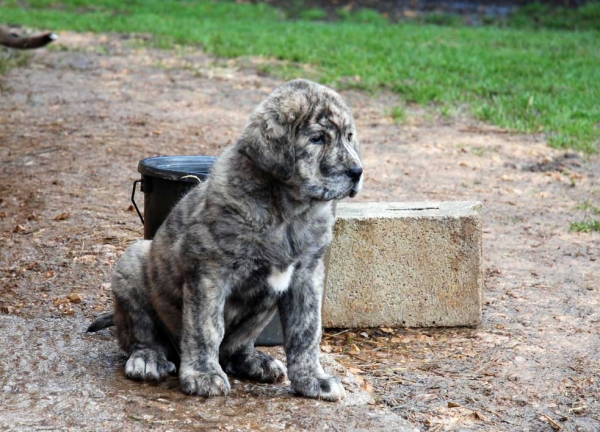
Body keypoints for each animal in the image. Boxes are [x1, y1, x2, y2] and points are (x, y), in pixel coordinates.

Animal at [87, 78, 364, 402]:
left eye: (349, 137)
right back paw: (148, 358)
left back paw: (254, 360)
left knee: (236, 346)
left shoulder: (306, 276)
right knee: (141, 334)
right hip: (133, 261)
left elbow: (306, 332)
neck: (287, 212)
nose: (357, 172)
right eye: (317, 139)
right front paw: (203, 375)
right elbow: (206, 328)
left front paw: (312, 380)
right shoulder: (210, 274)